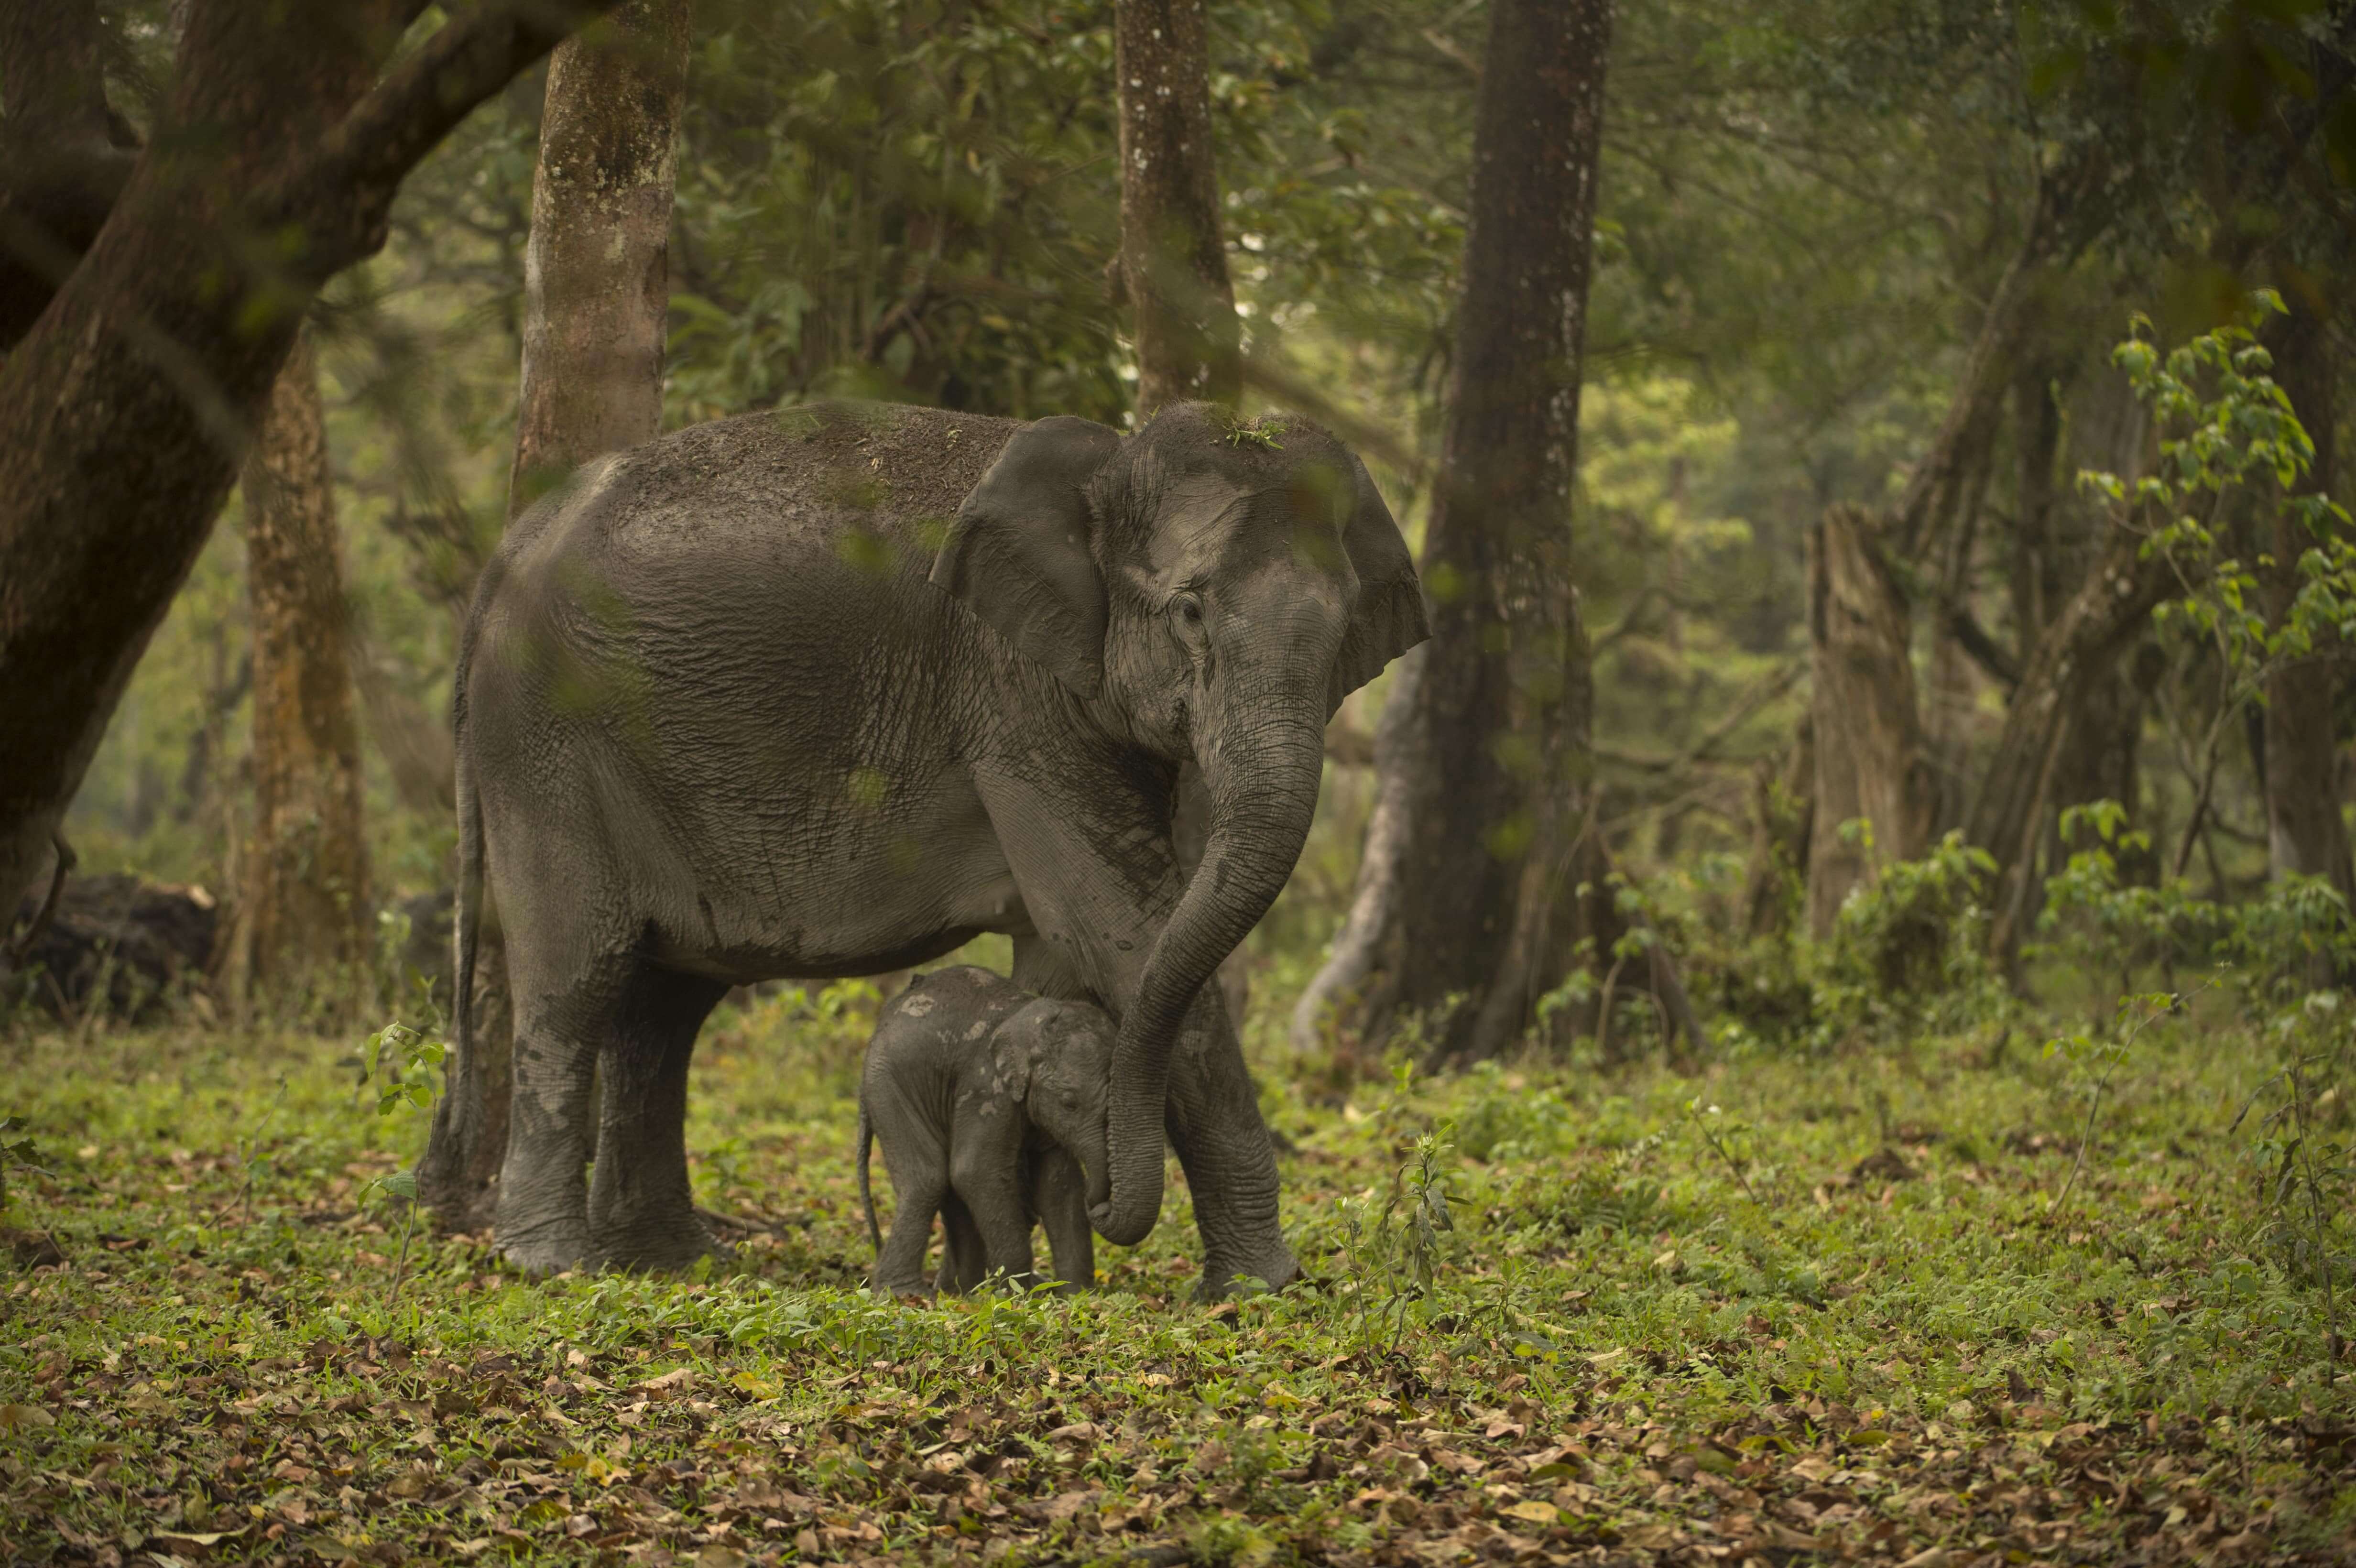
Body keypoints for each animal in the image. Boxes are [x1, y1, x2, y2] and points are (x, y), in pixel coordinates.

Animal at [858, 966, 1111, 1295]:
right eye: (1069, 1103)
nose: (1100, 1208)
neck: (1030, 1019)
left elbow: (1059, 1184)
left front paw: (1076, 1295)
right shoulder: (986, 1087)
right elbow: (976, 1171)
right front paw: (1019, 1293)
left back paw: (960, 1291)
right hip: (890, 1085)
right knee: (927, 1178)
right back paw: (908, 1295)